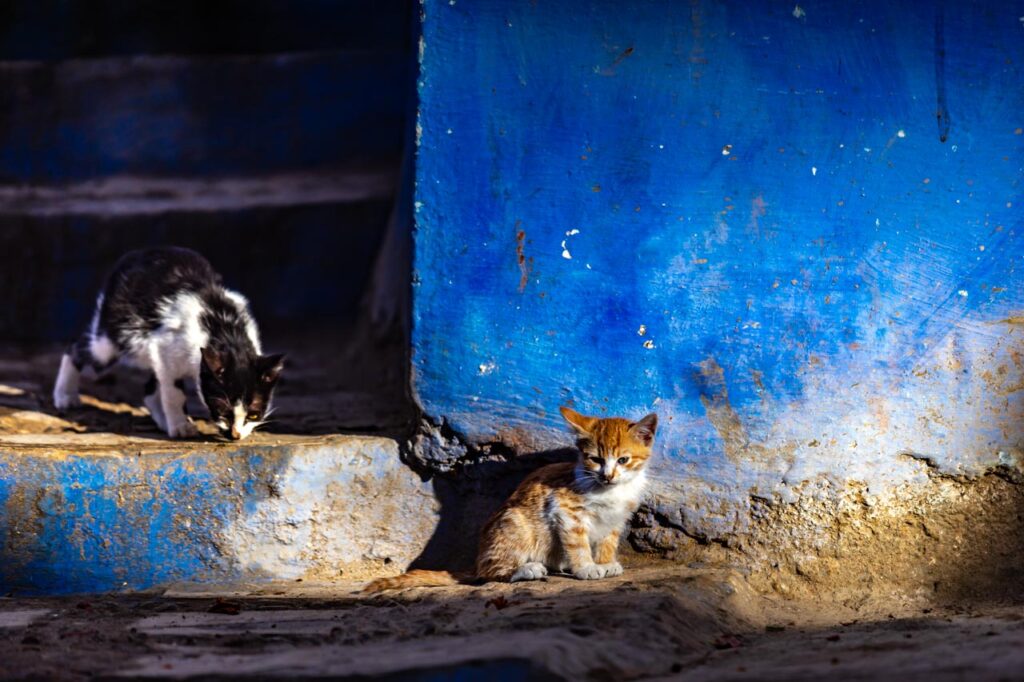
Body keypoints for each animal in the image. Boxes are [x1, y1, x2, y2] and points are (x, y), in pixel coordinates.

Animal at [54, 246, 282, 438]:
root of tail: (136, 253)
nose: (235, 435)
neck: (226, 333)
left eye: (253, 414)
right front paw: (181, 427)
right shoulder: (166, 347)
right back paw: (65, 396)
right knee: (77, 349)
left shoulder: (162, 353)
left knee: (150, 389)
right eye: (223, 411)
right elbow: (174, 393)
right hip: (109, 338)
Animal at [366, 403, 655, 589]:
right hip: (514, 522)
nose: (607, 475)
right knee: (488, 573)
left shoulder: (617, 517)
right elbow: (577, 542)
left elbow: (608, 539)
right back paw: (526, 569)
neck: (612, 490)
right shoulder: (565, 509)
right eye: (595, 459)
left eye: (623, 460)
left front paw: (606, 562)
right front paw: (586, 567)